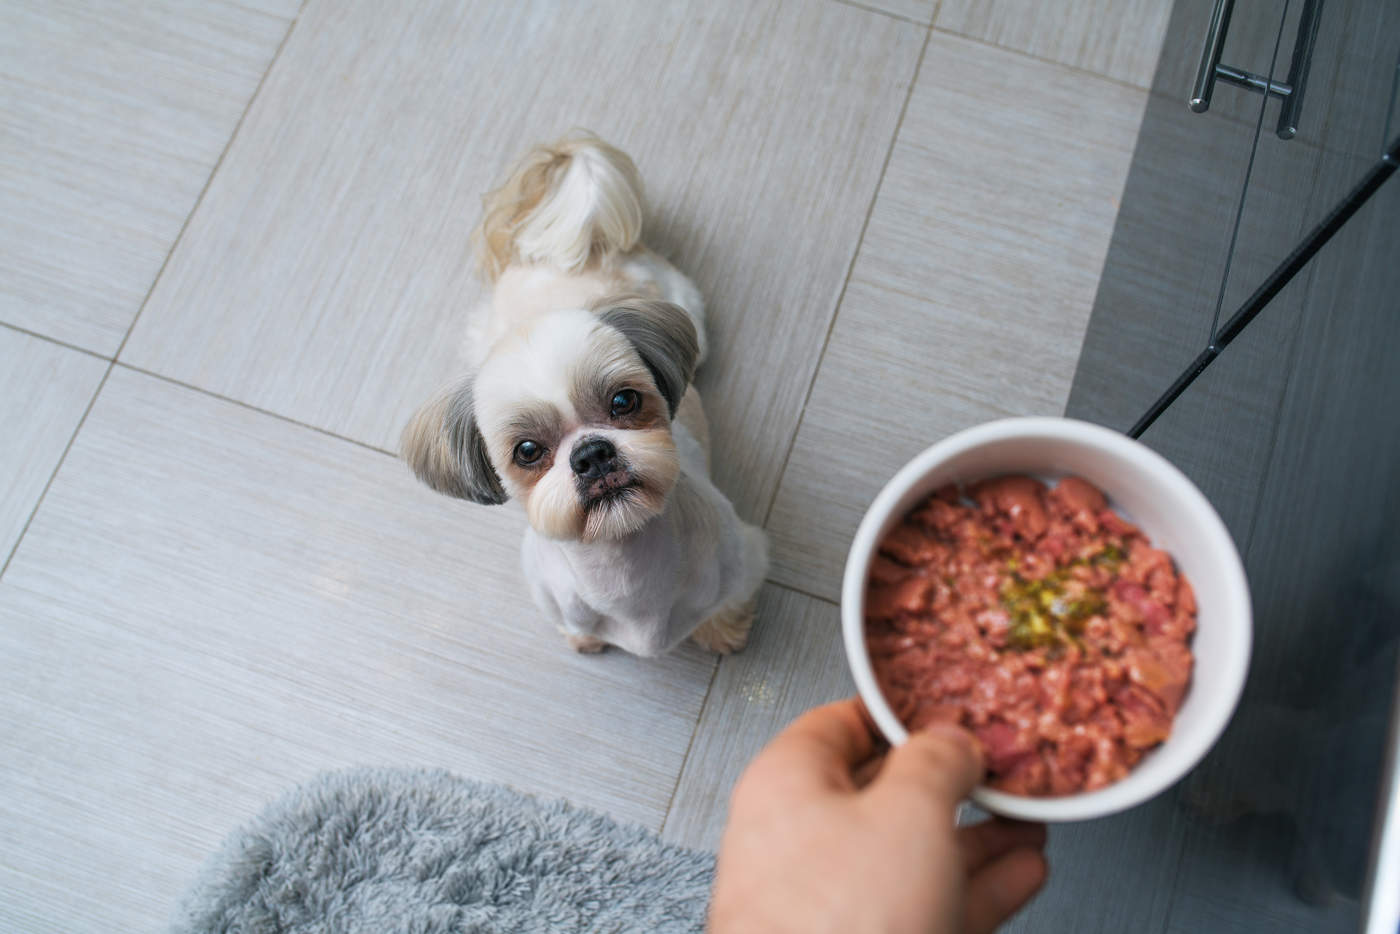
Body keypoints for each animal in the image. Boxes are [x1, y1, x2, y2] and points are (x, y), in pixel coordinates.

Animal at [400, 133, 767, 658]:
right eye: (527, 451)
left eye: (624, 402)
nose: (591, 454)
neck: (626, 576)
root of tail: (563, 252)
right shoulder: (550, 596)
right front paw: (585, 641)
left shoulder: (744, 563)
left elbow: (727, 606)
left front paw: (722, 634)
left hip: (686, 305)